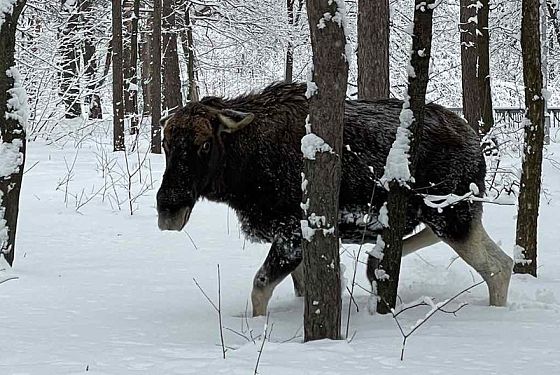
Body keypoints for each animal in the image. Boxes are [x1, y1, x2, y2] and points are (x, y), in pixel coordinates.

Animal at [155, 83, 516, 318]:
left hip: (452, 212)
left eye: (204, 144)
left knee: (499, 266)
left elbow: (259, 288)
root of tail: (477, 144)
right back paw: (376, 260)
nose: (168, 208)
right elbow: (299, 289)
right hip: (445, 213)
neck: (244, 171)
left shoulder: (291, 234)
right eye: (166, 143)